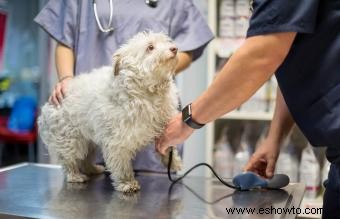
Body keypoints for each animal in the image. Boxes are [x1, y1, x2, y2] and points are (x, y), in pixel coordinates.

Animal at [37, 31, 183, 192]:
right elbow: (121, 164)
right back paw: (75, 175)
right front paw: (127, 183)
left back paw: (93, 169)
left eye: (166, 41)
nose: (174, 49)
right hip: (70, 140)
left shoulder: (163, 125)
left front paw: (173, 162)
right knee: (69, 160)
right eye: (150, 47)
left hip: (88, 140)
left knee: (85, 159)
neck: (148, 93)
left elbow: (169, 146)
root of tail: (47, 104)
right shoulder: (117, 140)